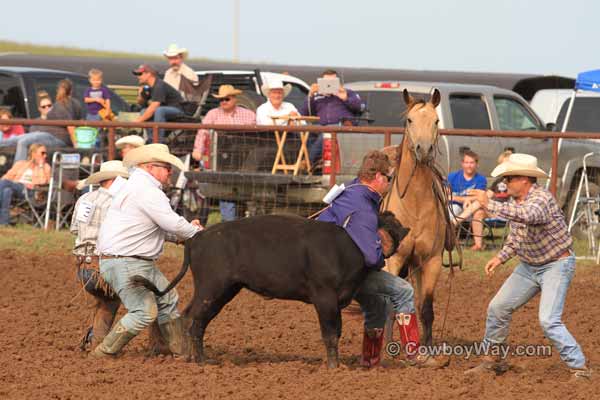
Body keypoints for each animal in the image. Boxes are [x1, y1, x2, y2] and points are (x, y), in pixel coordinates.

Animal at [382, 89, 452, 346]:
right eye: (410, 120)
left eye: (436, 121)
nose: (424, 149)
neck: (415, 204)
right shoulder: (394, 259)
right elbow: (390, 307)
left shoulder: (431, 261)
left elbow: (427, 308)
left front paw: (427, 347)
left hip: (417, 265)